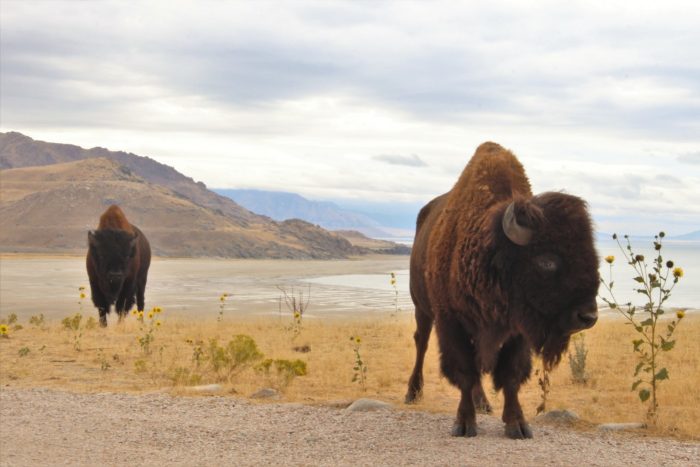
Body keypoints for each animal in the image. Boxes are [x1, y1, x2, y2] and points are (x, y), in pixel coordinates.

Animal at [408, 142, 600, 438]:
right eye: (547, 260)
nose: (588, 316)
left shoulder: (518, 332)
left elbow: (510, 376)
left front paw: (517, 425)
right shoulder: (451, 322)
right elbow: (464, 372)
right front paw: (464, 424)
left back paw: (483, 402)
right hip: (422, 308)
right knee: (421, 343)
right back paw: (413, 393)